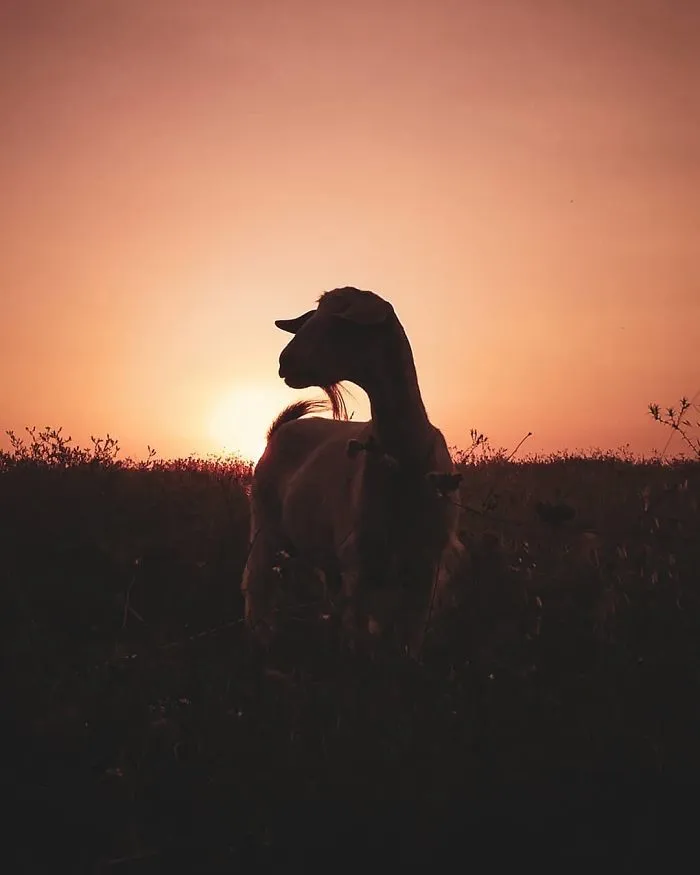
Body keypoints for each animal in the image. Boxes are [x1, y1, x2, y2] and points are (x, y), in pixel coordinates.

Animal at [241, 287, 464, 657]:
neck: (403, 460)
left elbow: (408, 640)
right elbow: (361, 640)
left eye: (340, 323)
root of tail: (278, 431)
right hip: (265, 527)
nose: (285, 362)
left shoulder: (425, 566)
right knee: (258, 584)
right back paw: (262, 641)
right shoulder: (359, 562)